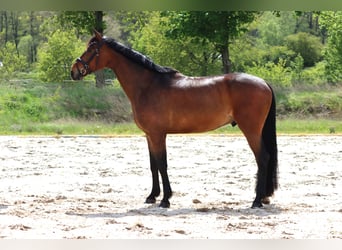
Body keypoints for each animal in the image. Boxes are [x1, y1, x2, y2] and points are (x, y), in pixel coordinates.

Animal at [71, 31, 278, 209]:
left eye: (91, 49)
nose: (74, 71)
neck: (148, 86)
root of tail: (264, 82)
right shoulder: (149, 135)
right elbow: (153, 165)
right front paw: (152, 196)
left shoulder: (158, 135)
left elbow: (162, 165)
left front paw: (165, 199)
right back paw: (263, 198)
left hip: (251, 130)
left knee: (262, 158)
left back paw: (257, 200)